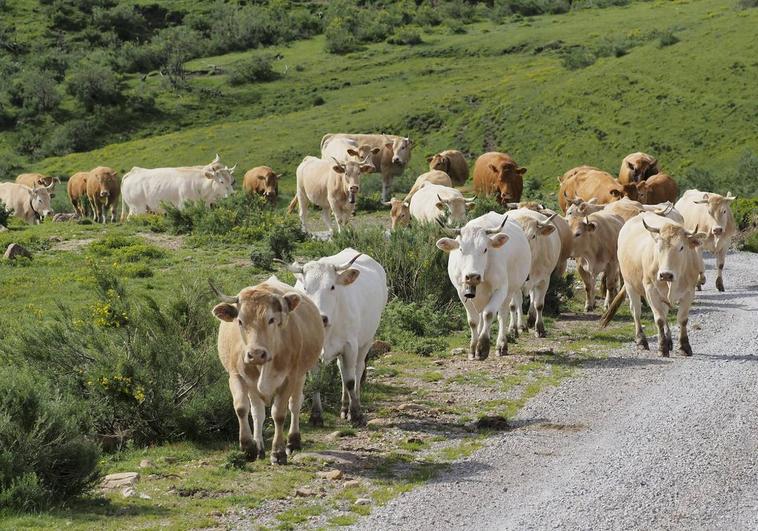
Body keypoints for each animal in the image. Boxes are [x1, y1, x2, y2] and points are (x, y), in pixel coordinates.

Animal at [209, 276, 326, 464]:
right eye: (240, 321)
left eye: (271, 319)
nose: (256, 354)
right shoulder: (235, 376)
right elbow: (241, 408)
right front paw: (248, 446)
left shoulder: (289, 378)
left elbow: (279, 413)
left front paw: (278, 452)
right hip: (252, 386)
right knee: (257, 412)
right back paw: (259, 447)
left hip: (300, 375)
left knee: (295, 405)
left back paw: (293, 441)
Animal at [436, 213, 532, 362]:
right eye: (461, 249)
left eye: (485, 249)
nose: (472, 276)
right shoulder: (461, 292)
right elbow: (473, 321)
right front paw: (473, 349)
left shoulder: (500, 289)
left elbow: (489, 314)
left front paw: (482, 347)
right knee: (481, 316)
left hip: (510, 291)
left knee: (502, 315)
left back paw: (501, 345)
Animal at [508, 210, 560, 338]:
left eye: (533, 236)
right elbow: (513, 305)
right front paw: (513, 329)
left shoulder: (544, 280)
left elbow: (539, 304)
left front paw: (540, 328)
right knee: (519, 302)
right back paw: (521, 325)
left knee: (532, 297)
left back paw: (530, 320)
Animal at [612, 215, 708, 358]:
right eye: (659, 247)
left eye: (681, 247)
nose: (666, 275)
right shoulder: (651, 291)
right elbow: (659, 320)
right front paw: (662, 348)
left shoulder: (689, 292)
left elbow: (682, 319)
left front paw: (684, 347)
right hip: (630, 285)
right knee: (636, 312)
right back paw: (641, 341)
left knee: (664, 311)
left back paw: (668, 341)